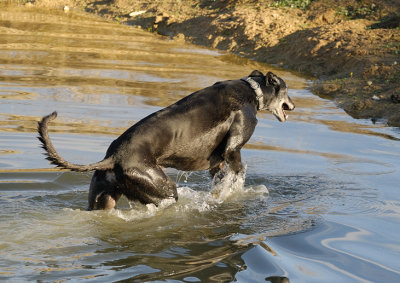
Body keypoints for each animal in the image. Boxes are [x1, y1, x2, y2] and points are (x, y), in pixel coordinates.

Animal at [38, 70, 294, 210]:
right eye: (286, 89)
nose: (292, 106)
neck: (252, 90)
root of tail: (113, 157)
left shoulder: (217, 162)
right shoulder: (233, 149)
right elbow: (237, 172)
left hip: (103, 199)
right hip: (163, 190)